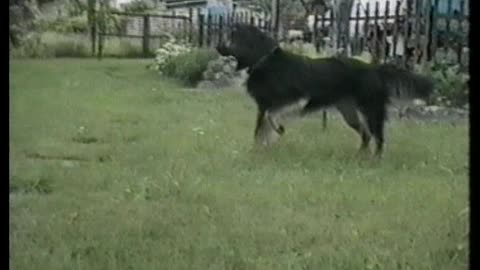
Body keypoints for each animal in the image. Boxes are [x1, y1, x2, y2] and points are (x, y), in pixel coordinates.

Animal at [216, 24, 434, 157]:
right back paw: (359, 157)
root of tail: (375, 68)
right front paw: (259, 150)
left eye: (232, 38)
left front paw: (278, 130)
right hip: (349, 112)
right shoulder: (264, 106)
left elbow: (272, 118)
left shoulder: (298, 99)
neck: (265, 60)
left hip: (371, 109)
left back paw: (375, 160)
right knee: (366, 135)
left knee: (378, 137)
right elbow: (260, 130)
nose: (217, 47)